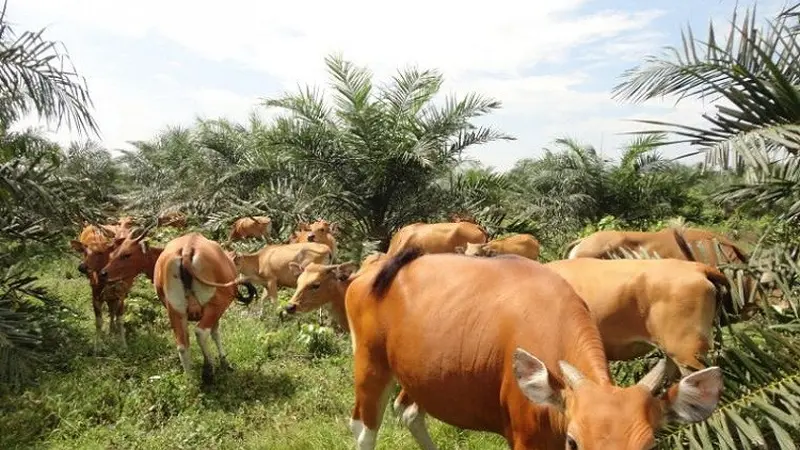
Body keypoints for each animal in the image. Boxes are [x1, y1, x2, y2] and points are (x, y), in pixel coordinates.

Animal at [99, 229, 256, 384]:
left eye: (126, 254)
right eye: (113, 254)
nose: (103, 273)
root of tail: (187, 251)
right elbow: (215, 333)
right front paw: (224, 362)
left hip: (175, 309)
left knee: (182, 345)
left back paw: (190, 381)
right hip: (217, 303)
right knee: (201, 332)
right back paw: (208, 371)